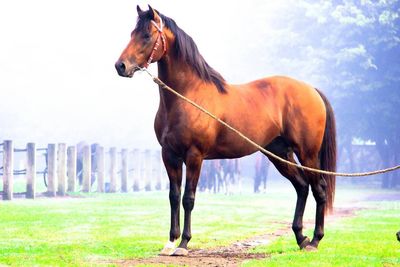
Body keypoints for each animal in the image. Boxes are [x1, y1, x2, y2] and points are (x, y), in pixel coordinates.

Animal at [116, 5, 338, 258]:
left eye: (146, 35)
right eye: (132, 33)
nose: (120, 66)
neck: (188, 95)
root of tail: (311, 89)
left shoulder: (195, 156)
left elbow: (188, 198)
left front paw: (183, 243)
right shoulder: (169, 155)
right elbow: (173, 196)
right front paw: (170, 242)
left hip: (307, 153)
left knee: (319, 189)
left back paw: (315, 240)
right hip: (279, 153)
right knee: (301, 187)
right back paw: (301, 237)